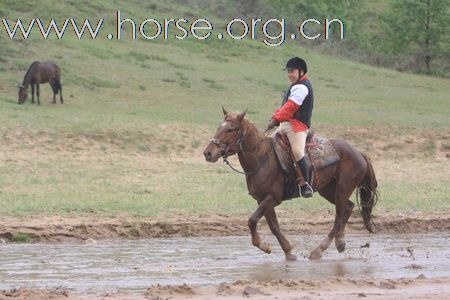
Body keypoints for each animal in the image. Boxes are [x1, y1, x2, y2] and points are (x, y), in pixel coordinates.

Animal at [202, 109, 378, 260]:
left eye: (230, 129)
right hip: (328, 191)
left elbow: (252, 220)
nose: (208, 153)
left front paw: (264, 246)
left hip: (342, 189)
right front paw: (288, 251)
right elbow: (274, 226)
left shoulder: (272, 198)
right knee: (348, 208)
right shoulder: (262, 200)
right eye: (219, 127)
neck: (262, 157)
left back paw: (320, 249)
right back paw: (339, 242)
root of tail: (358, 152)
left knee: (339, 216)